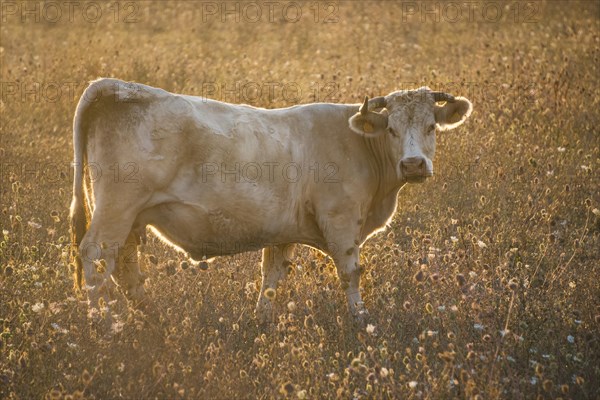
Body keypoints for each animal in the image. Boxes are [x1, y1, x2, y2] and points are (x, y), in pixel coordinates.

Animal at [70, 79, 474, 324]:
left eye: (431, 126)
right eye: (391, 129)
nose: (413, 164)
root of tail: (116, 86)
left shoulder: (283, 232)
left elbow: (272, 276)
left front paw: (261, 320)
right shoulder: (341, 220)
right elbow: (351, 272)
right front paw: (361, 320)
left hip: (132, 217)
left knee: (125, 267)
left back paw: (149, 318)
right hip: (116, 209)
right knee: (96, 258)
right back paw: (105, 325)